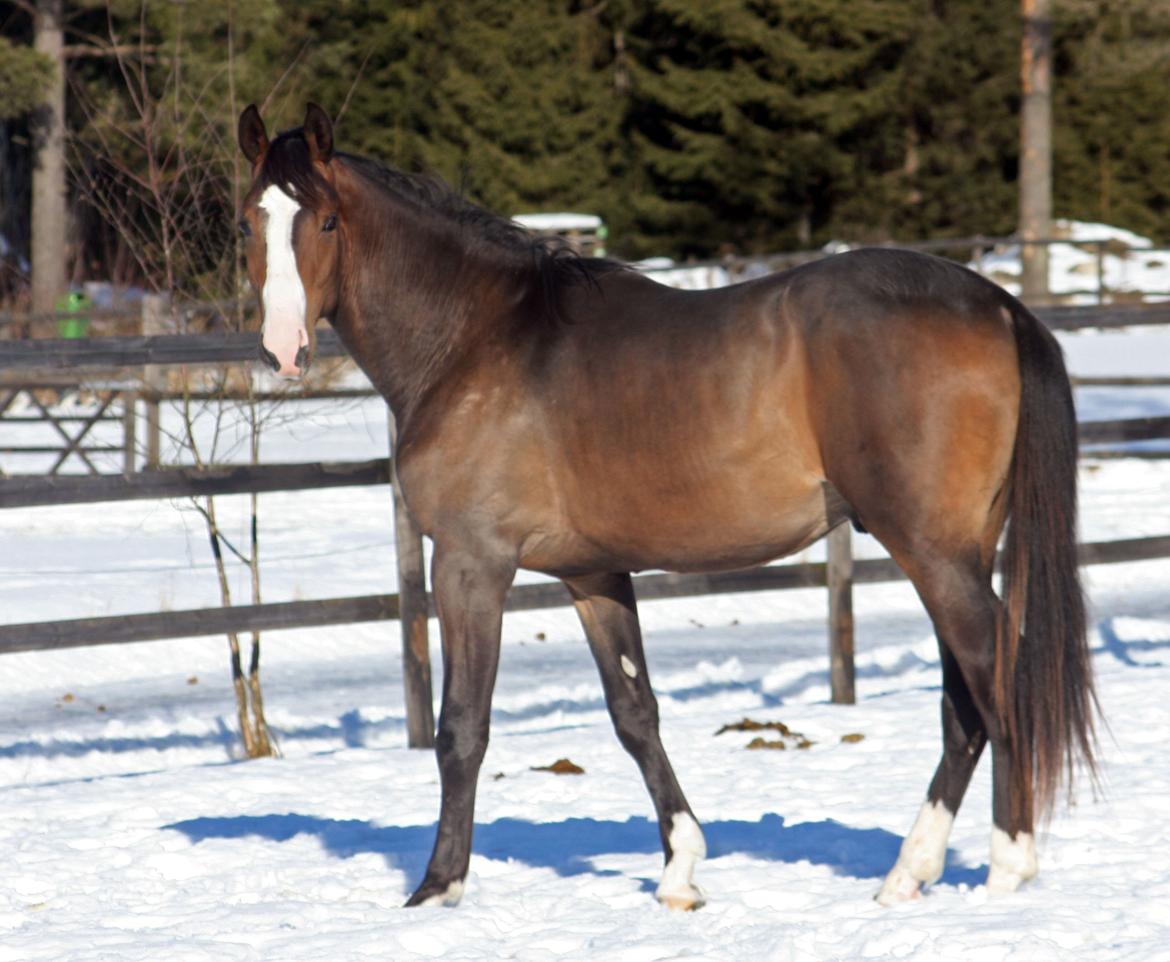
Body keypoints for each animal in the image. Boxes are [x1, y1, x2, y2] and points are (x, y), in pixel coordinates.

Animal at [237, 105, 1095, 912]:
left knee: (995, 682)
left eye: (325, 220)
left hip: (932, 552)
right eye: (249, 219)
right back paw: (907, 875)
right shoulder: (593, 574)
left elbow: (462, 729)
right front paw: (681, 871)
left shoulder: (471, 565)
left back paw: (1009, 865)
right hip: (955, 552)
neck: (474, 340)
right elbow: (634, 714)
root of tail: (997, 305)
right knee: (963, 708)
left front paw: (437, 886)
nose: (282, 350)